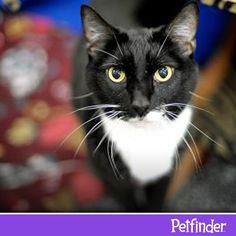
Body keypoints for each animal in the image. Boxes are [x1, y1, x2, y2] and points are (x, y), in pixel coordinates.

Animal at [72, 1, 199, 212]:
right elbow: (129, 201)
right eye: (116, 74)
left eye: (163, 72)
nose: (140, 105)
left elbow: (156, 200)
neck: (143, 139)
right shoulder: (111, 178)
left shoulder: (164, 175)